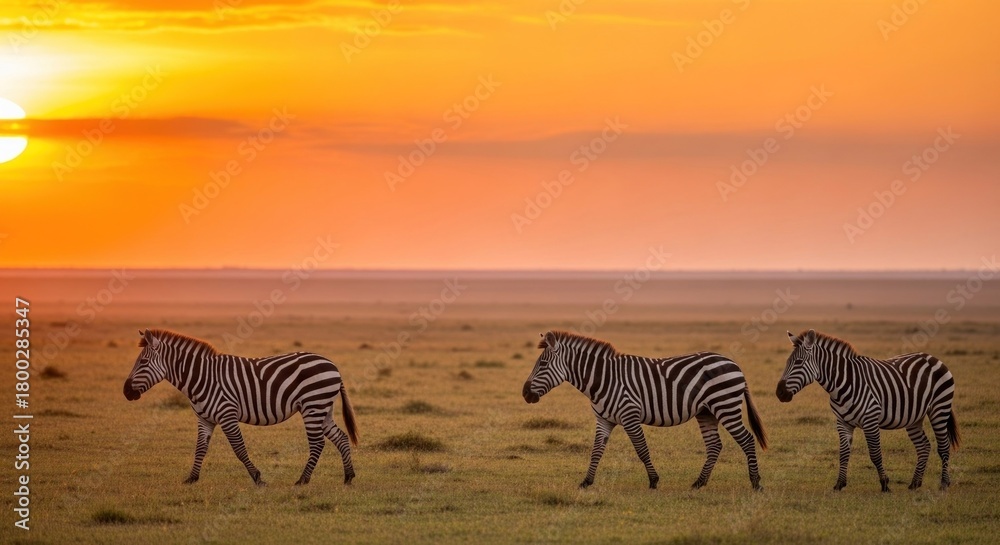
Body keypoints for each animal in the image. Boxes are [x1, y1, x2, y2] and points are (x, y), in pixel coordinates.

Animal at [123, 329, 358, 486]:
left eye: (143, 362)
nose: (125, 392)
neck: (201, 377)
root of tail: (332, 364)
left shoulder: (227, 414)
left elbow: (239, 448)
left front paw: (258, 478)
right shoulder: (204, 418)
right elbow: (200, 448)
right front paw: (192, 478)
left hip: (313, 405)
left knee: (318, 443)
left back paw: (303, 480)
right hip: (323, 408)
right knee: (341, 437)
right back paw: (348, 477)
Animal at [522, 330, 767, 490]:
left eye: (542, 365)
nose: (524, 394)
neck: (604, 379)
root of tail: (734, 363)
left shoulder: (630, 416)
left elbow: (641, 449)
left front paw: (653, 481)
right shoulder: (604, 420)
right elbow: (596, 451)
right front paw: (586, 482)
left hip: (725, 406)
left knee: (746, 439)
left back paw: (756, 483)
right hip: (706, 412)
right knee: (715, 445)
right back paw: (698, 483)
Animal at [776, 329, 960, 492]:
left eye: (798, 362)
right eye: (787, 362)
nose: (779, 393)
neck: (842, 384)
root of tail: (932, 357)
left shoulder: (870, 419)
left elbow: (875, 453)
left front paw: (885, 484)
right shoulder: (842, 422)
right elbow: (843, 453)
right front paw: (839, 484)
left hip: (939, 408)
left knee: (943, 446)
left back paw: (944, 484)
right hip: (914, 417)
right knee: (924, 446)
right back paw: (915, 483)